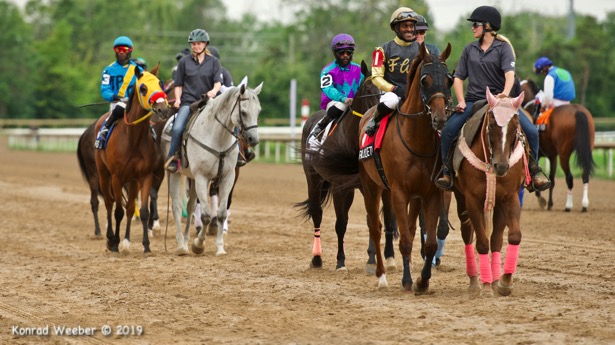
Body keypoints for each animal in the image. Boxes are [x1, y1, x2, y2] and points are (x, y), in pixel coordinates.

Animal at [94, 64, 170, 253]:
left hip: (133, 180)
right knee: (109, 203)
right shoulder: (117, 177)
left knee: (129, 208)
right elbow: (118, 211)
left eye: (160, 83)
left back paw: (126, 241)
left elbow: (142, 211)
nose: (163, 109)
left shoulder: (145, 176)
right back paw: (110, 238)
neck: (133, 139)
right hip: (104, 174)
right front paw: (114, 242)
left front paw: (146, 245)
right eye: (143, 88)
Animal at [161, 79, 262, 254]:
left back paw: (186, 242)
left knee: (190, 205)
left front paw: (220, 247)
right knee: (177, 206)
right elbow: (206, 216)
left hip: (192, 178)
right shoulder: (202, 177)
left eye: (258, 111)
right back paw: (181, 245)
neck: (217, 137)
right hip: (175, 174)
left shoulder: (228, 177)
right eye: (243, 112)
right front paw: (198, 244)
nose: (253, 139)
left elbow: (221, 213)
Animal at [358, 43, 454, 290]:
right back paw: (381, 275)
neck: (416, 141)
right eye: (424, 80)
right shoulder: (399, 192)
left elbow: (428, 242)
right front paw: (408, 280)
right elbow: (405, 240)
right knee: (375, 227)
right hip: (371, 186)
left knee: (408, 227)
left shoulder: (430, 192)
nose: (440, 119)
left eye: (449, 79)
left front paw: (423, 280)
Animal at [454, 88, 528, 296]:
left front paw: (504, 283)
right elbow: (481, 242)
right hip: (461, 199)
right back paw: (475, 282)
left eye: (515, 125)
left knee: (496, 239)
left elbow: (513, 236)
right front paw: (486, 286)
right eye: (492, 124)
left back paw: (495, 281)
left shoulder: (510, 197)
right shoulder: (472, 199)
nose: (501, 166)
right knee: (468, 234)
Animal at [520, 78, 596, 211]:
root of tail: (578, 111)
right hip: (587, 148)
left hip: (564, 154)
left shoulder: (541, 154)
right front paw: (549, 203)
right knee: (585, 174)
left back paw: (568, 205)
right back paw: (584, 204)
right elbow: (552, 179)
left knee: (569, 178)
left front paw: (542, 200)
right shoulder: (552, 156)